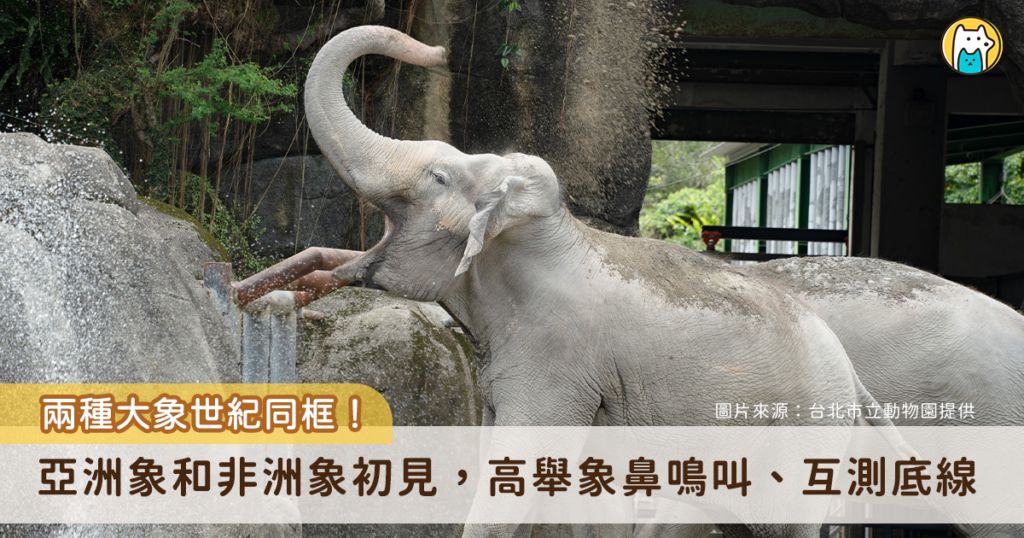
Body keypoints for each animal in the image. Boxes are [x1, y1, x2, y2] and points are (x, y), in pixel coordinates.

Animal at [303, 25, 907, 538]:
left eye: (438, 176)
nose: (437, 50)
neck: (550, 232)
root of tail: (852, 376)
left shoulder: (557, 359)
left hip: (799, 430)